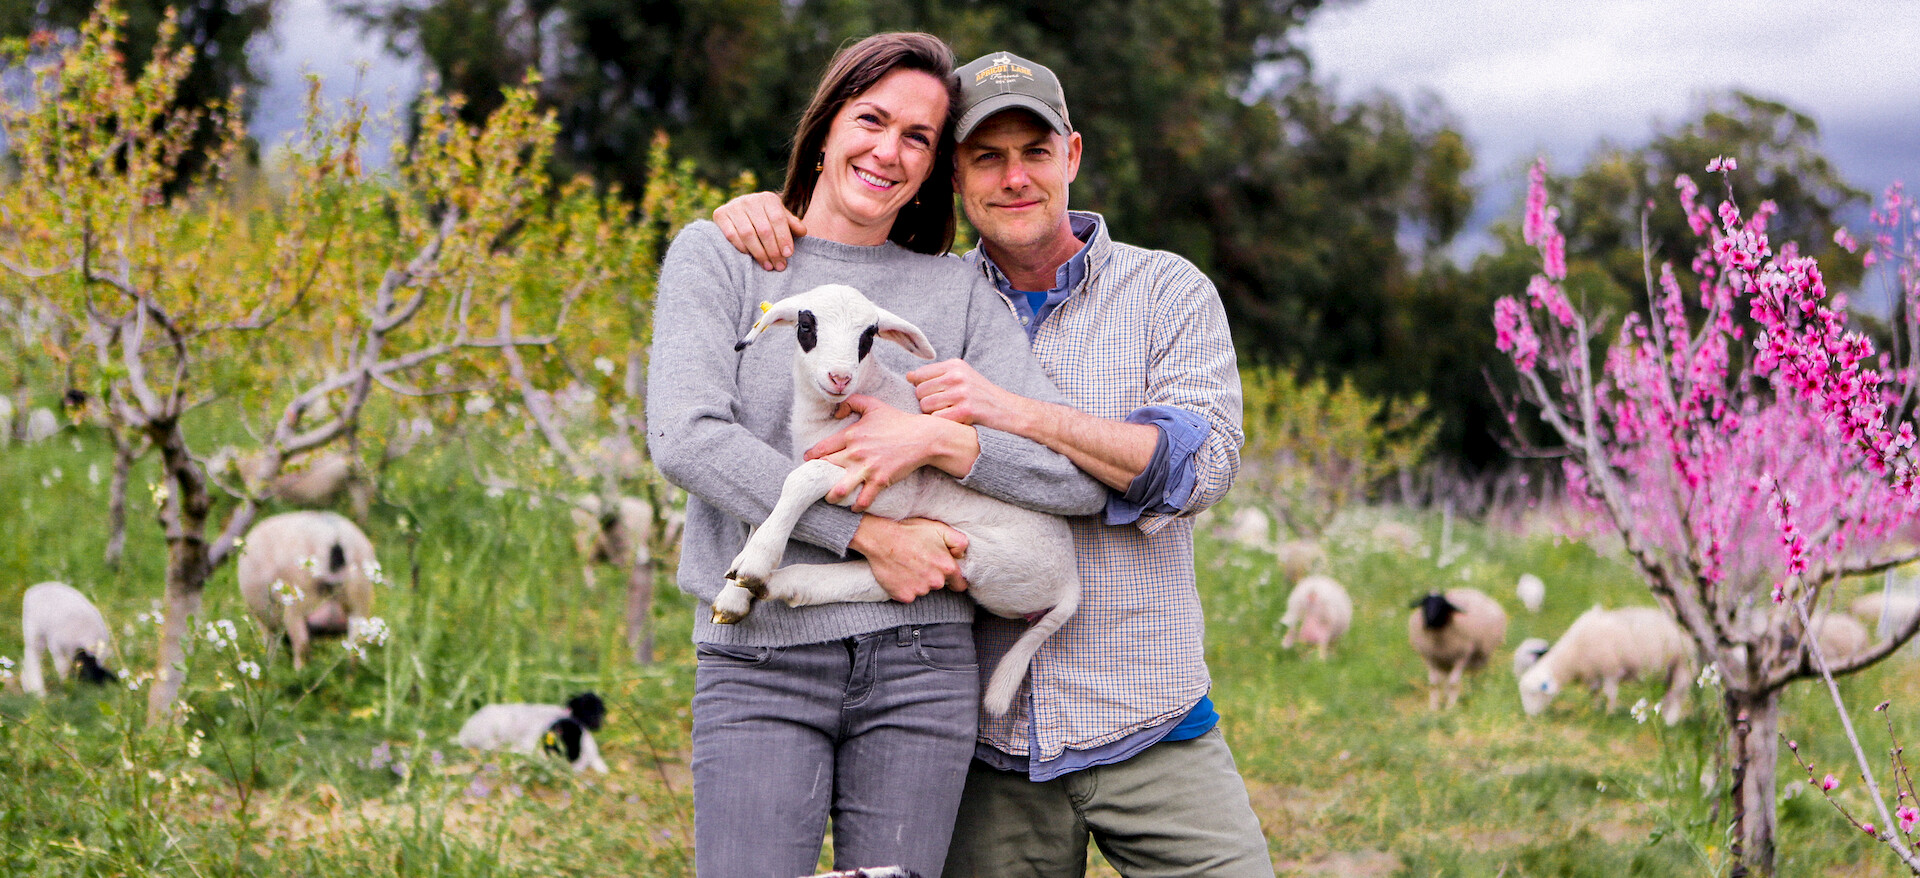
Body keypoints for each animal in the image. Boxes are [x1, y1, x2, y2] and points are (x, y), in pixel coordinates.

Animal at [237, 511, 379, 669]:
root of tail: (334, 536)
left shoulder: (264, 621)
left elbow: (271, 647)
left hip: (297, 602)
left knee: (301, 645)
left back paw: (298, 672)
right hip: (359, 602)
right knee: (354, 648)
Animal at [718, 284, 1080, 717]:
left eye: (868, 336)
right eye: (807, 325)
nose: (840, 377)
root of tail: (1071, 586)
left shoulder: (886, 487)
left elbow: (802, 479)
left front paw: (755, 566)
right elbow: (770, 501)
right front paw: (735, 590)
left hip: (988, 561)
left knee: (887, 581)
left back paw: (785, 583)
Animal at [1518, 605, 1694, 725]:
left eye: (1534, 693)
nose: (1529, 716)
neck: (1573, 655)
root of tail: (1687, 632)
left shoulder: (1611, 670)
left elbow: (1610, 694)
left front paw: (1609, 714)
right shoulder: (1593, 673)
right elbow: (1594, 692)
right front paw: (1596, 709)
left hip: (1682, 666)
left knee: (1677, 695)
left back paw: (1670, 721)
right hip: (1670, 670)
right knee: (1670, 693)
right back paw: (1664, 715)